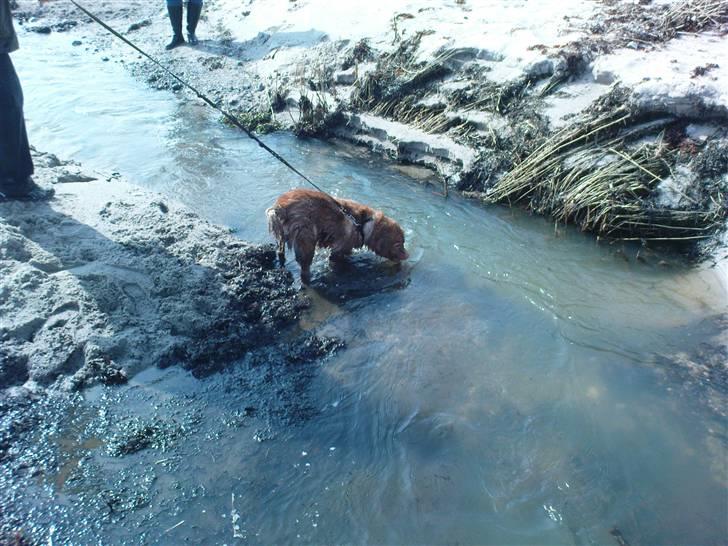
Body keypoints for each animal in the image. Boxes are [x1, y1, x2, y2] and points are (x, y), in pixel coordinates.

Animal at [266, 188, 406, 282]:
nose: (407, 256)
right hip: (306, 239)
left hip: (281, 236)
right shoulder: (340, 249)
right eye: (399, 243)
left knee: (280, 251)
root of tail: (280, 207)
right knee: (304, 268)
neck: (364, 223)